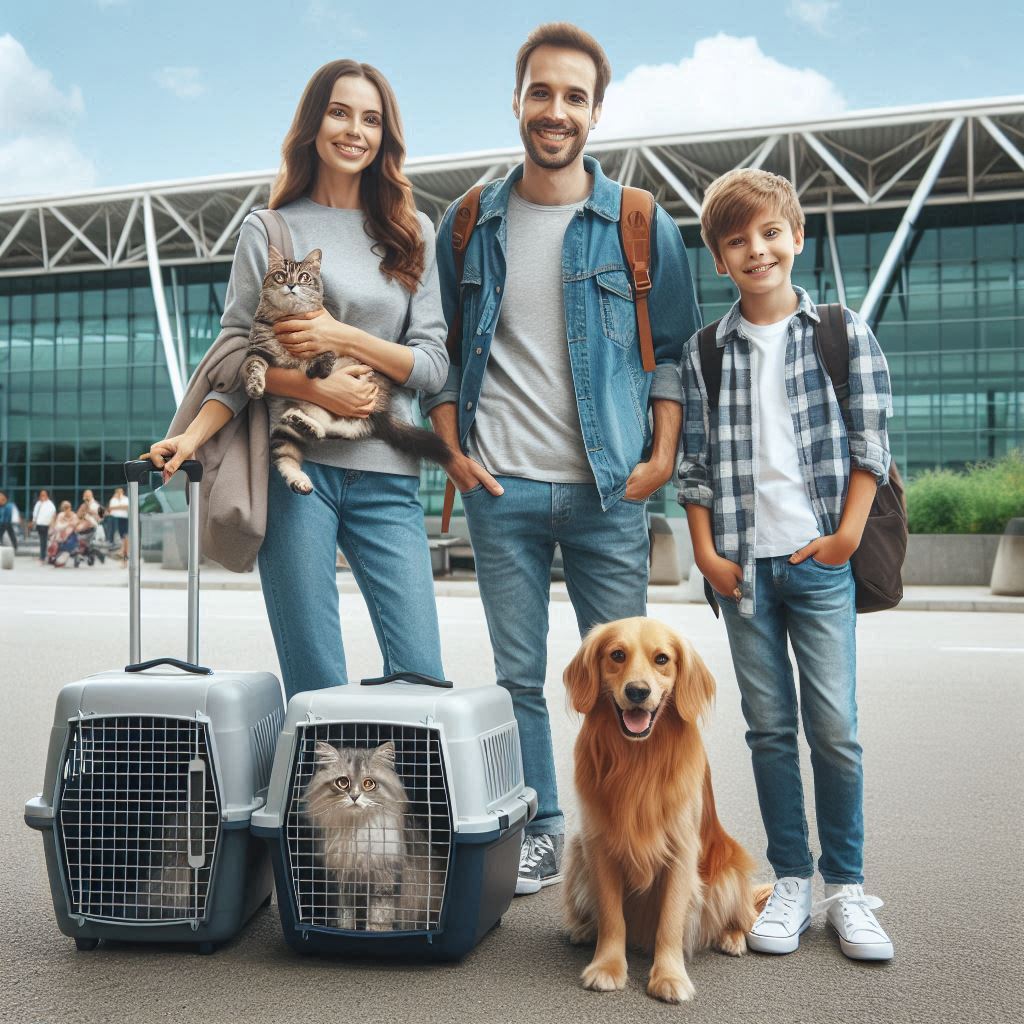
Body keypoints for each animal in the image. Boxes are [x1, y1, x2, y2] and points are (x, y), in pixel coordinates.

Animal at [241, 243, 450, 491]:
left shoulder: (323, 339)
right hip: (284, 430)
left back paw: (307, 424)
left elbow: (325, 356)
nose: (291, 285)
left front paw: (317, 368)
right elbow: (254, 367)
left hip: (361, 401)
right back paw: (300, 464)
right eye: (281, 276)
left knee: (343, 429)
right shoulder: (258, 350)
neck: (287, 318)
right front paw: (255, 386)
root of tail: (382, 414)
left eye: (304, 277)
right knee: (295, 449)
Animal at [303, 741, 448, 933]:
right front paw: (346, 931)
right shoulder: (344, 881)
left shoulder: (383, 880)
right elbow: (345, 916)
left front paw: (374, 933)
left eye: (368, 783)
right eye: (342, 782)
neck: (357, 830)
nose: (354, 796)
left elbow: (378, 919)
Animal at [561, 614, 761, 999]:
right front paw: (607, 966)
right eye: (617, 654)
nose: (637, 691)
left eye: (662, 659)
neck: (639, 758)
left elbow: (670, 921)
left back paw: (732, 938)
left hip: (728, 873)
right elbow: (611, 916)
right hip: (578, 851)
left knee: (744, 916)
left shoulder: (681, 850)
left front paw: (669, 976)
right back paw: (584, 930)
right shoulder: (599, 846)